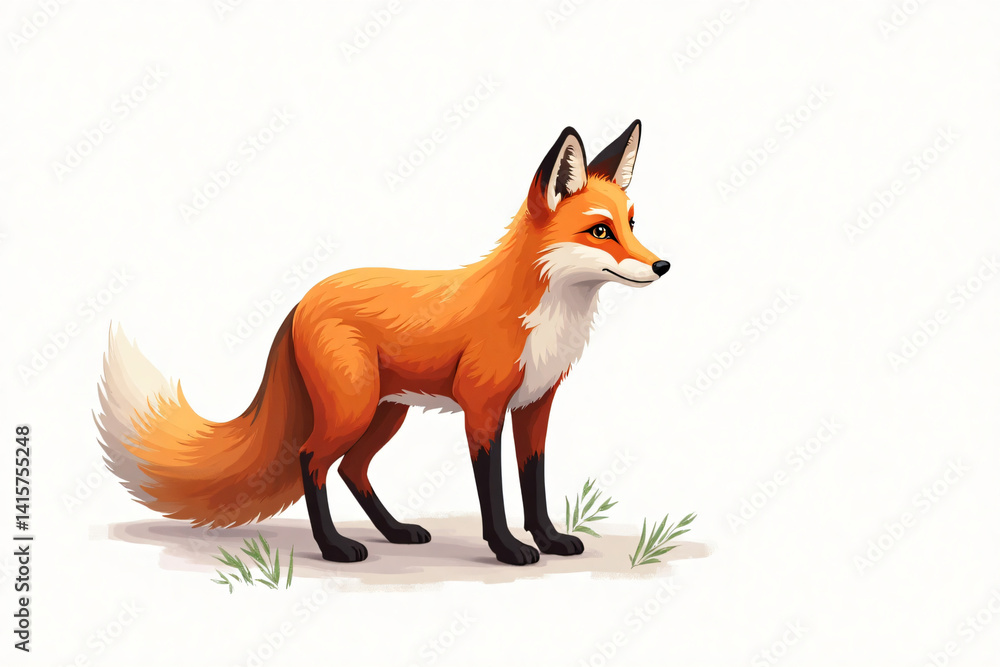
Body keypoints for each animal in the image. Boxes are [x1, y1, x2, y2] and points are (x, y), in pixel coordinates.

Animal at [96, 120, 670, 566]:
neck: (544, 317)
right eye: (600, 232)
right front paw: (507, 549)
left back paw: (395, 532)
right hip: (352, 409)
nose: (663, 265)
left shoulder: (535, 407)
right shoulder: (482, 410)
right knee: (311, 460)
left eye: (632, 224)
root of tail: (304, 298)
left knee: (352, 469)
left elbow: (535, 484)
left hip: (384, 411)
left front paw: (548, 540)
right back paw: (334, 548)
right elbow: (494, 494)